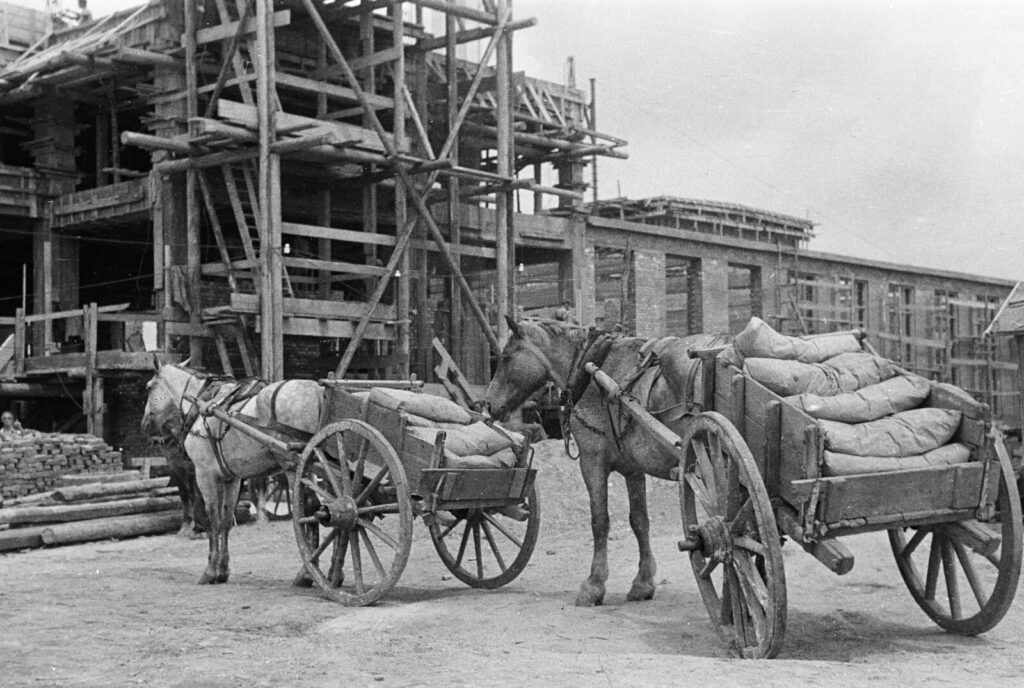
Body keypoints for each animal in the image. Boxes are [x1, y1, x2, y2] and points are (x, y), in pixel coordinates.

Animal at [140, 360, 321, 585]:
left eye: (149, 387)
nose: (144, 424)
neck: (202, 403)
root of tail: (316, 392)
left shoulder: (204, 475)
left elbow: (212, 519)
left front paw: (210, 570)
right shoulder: (231, 479)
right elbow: (225, 521)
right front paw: (223, 570)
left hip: (293, 466)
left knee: (306, 508)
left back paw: (308, 573)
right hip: (308, 466)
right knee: (314, 507)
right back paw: (314, 571)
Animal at [481, 317, 729, 606]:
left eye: (506, 358)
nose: (487, 404)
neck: (591, 369)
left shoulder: (592, 462)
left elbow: (600, 522)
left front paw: (594, 584)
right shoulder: (634, 469)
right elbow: (639, 520)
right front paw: (643, 582)